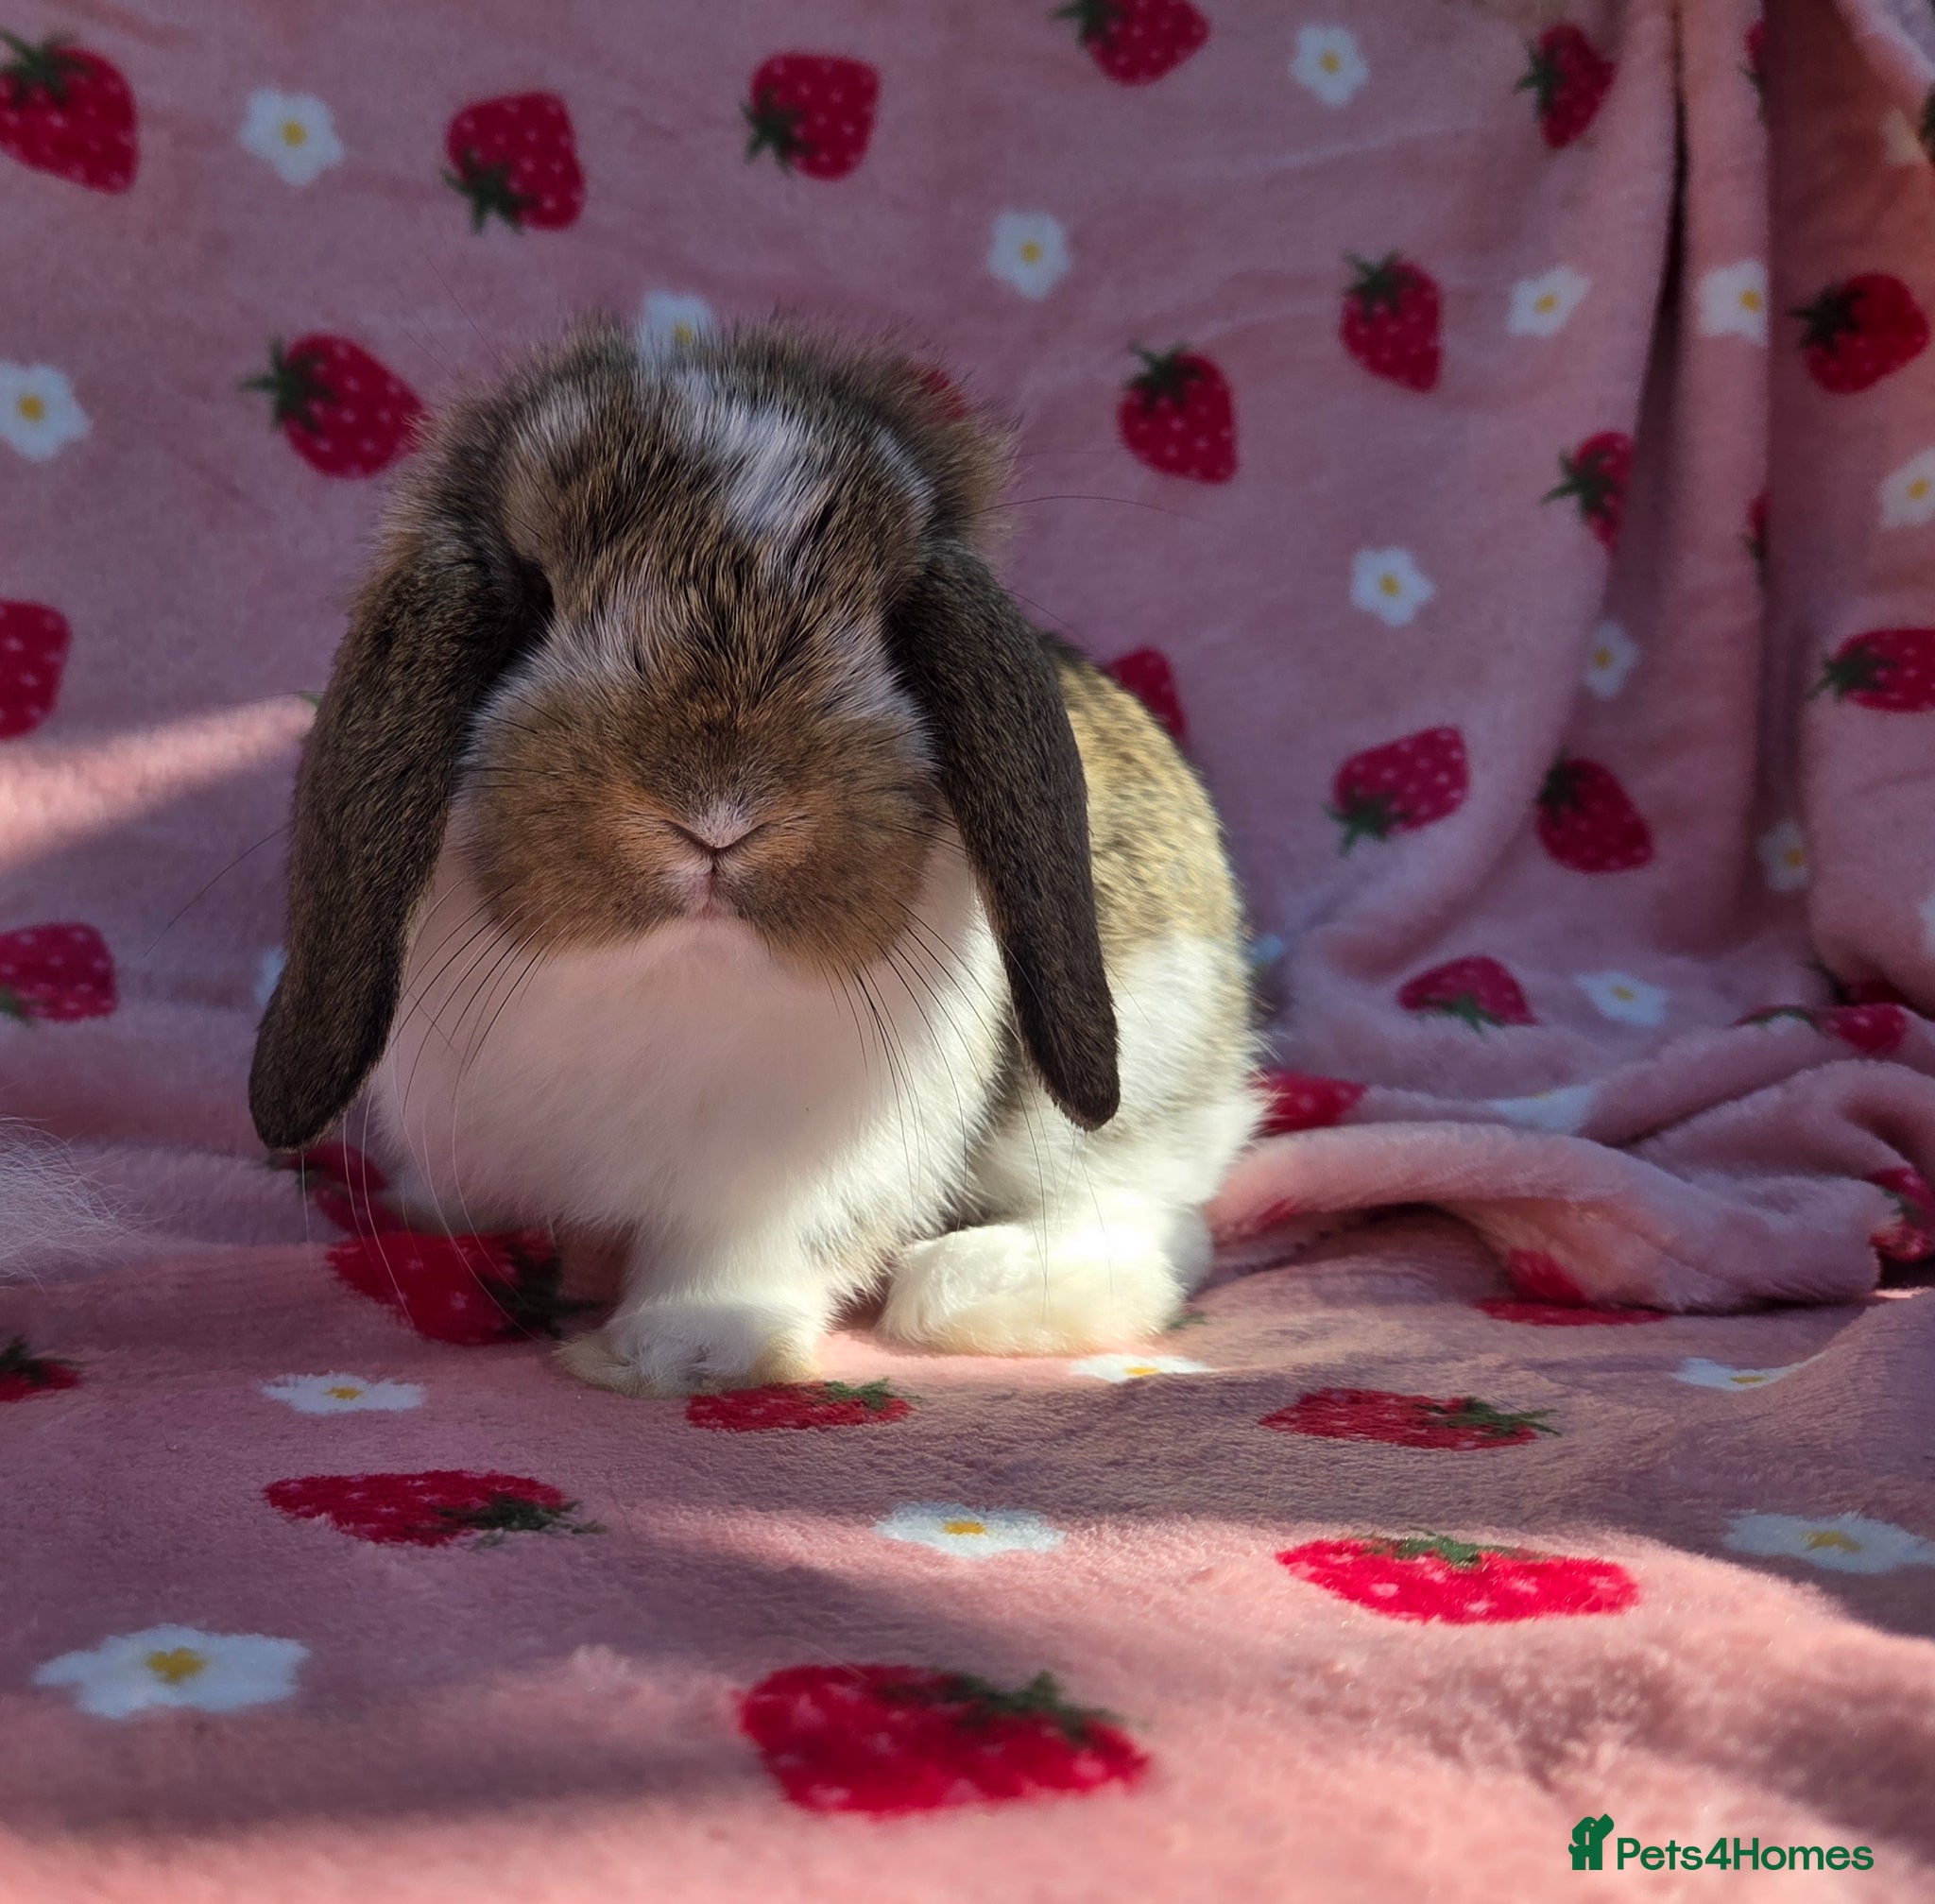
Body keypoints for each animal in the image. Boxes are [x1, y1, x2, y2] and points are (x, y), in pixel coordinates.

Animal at [250, 319, 1263, 1395]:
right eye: (533, 596)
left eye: (890, 623)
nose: (720, 815)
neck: (669, 970)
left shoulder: (793, 1185)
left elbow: (741, 1252)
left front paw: (675, 1350)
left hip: (1144, 1060)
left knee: (1157, 1223)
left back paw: (974, 1292)